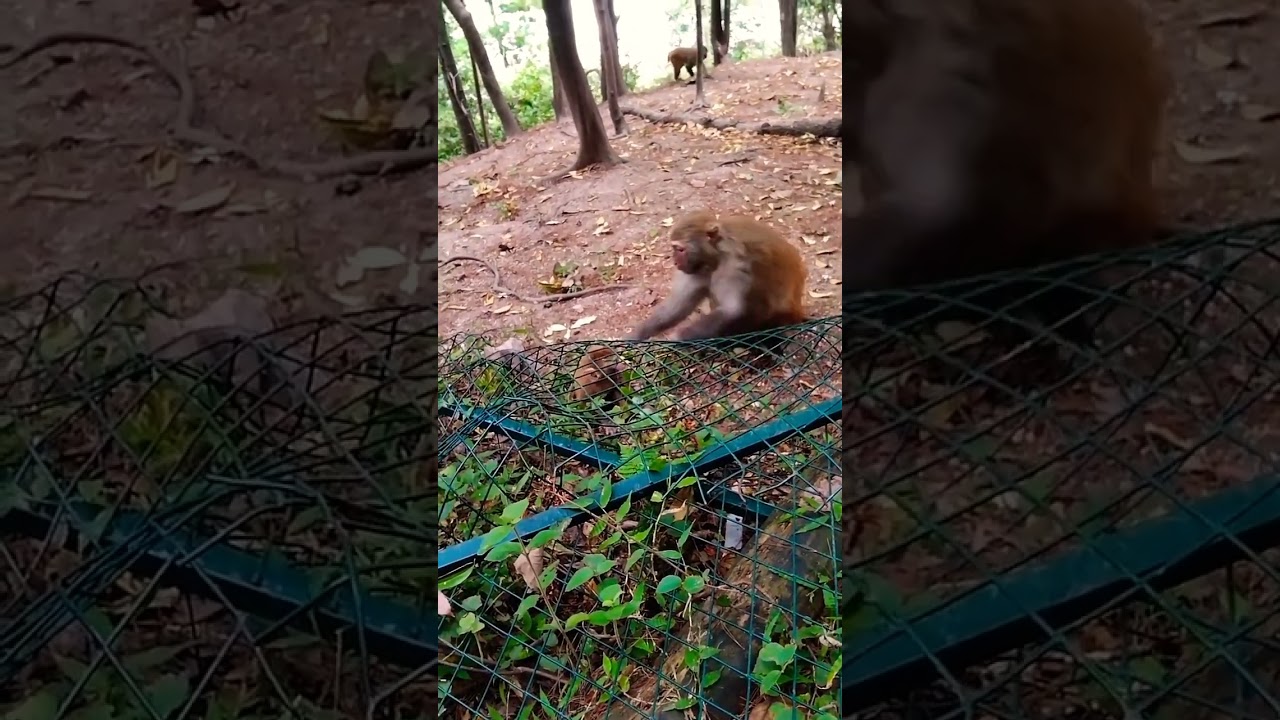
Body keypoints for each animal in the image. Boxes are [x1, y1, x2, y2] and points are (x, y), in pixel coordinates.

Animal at [628, 210, 807, 345]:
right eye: (675, 249)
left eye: (680, 249)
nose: (675, 262)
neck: (715, 256)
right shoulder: (695, 269)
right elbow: (677, 306)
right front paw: (637, 335)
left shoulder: (734, 266)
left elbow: (733, 310)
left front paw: (676, 338)